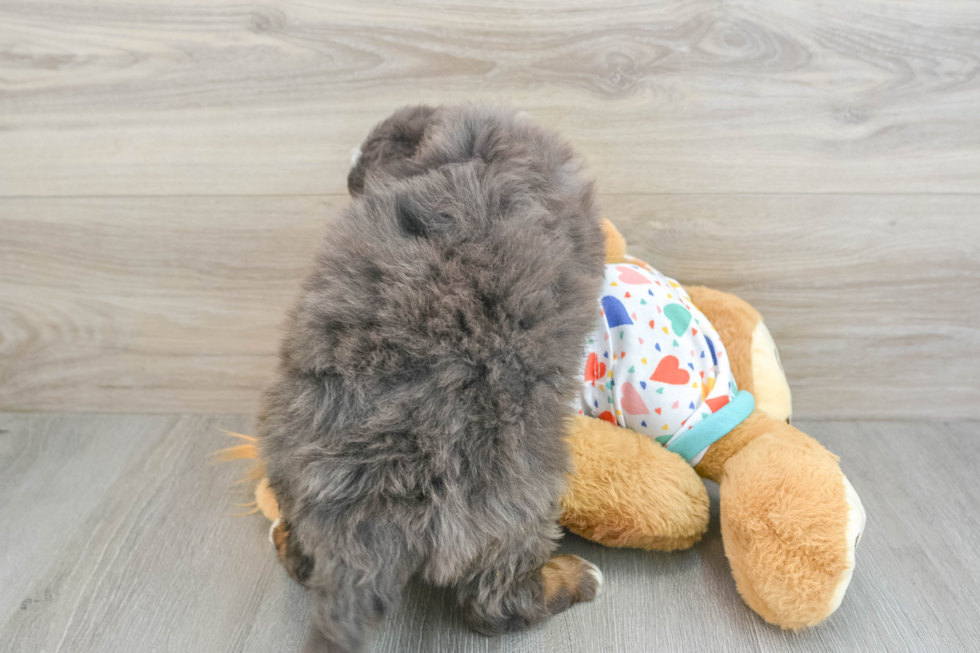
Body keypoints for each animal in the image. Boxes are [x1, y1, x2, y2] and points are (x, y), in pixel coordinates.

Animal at [264, 104, 608, 648]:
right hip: (518, 496)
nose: (349, 168)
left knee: (300, 550)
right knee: (494, 605)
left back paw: (284, 537)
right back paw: (573, 579)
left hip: (283, 449)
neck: (471, 151)